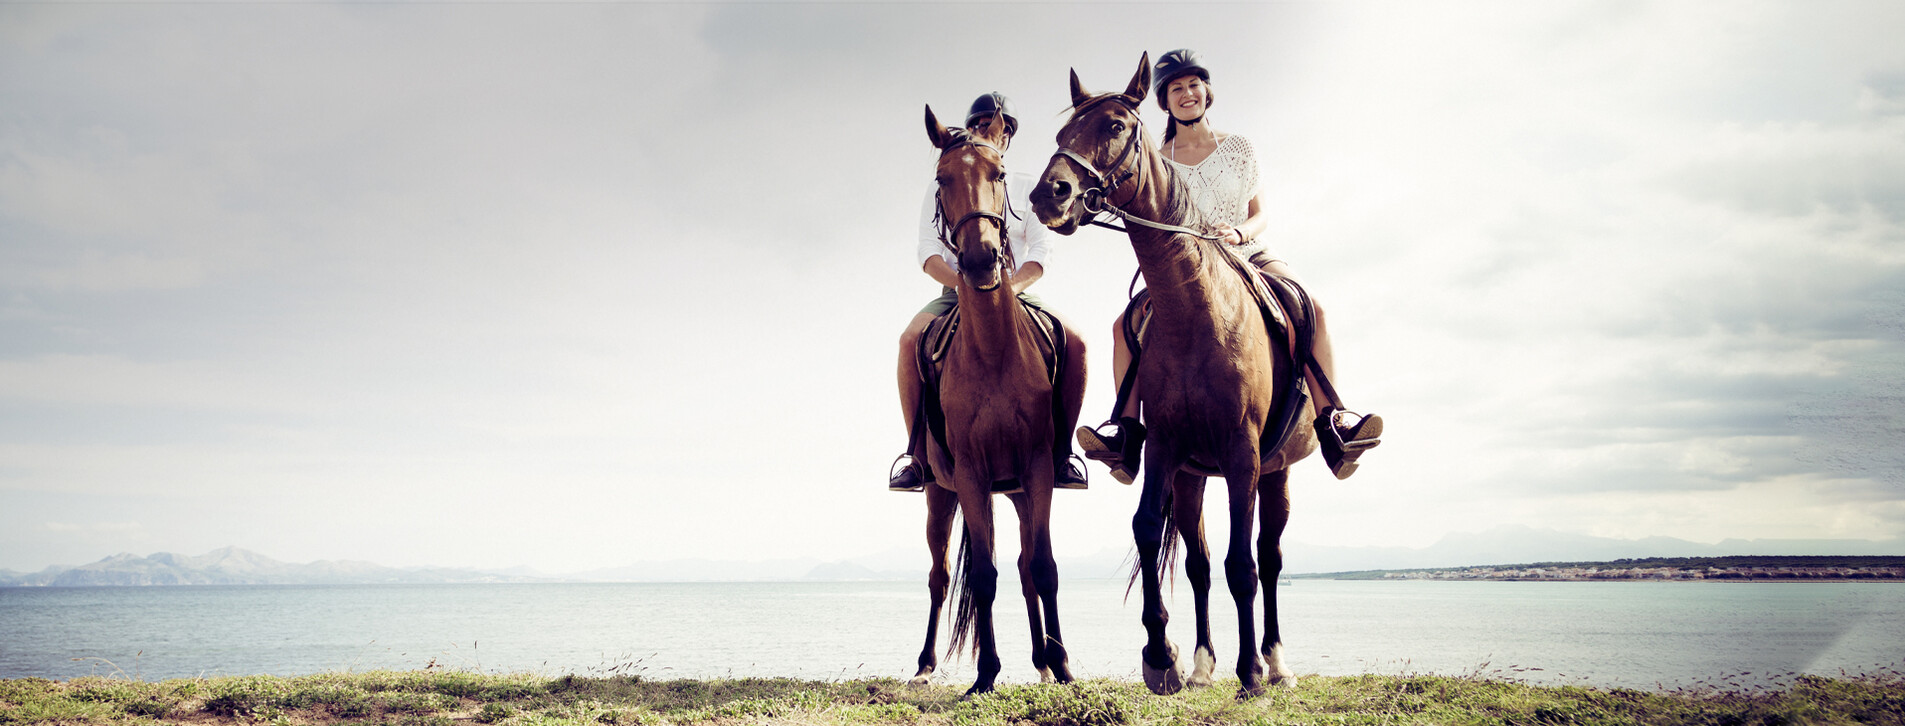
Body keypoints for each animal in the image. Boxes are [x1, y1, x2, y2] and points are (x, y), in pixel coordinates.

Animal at [914, 104, 1082, 693]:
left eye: (1001, 175)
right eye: (941, 180)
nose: (982, 259)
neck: (993, 352)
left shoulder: (1036, 469)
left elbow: (1045, 569)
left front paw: (1063, 666)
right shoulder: (970, 476)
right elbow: (982, 575)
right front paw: (985, 674)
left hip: (1019, 492)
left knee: (1028, 569)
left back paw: (1045, 660)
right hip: (939, 494)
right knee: (941, 576)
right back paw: (924, 665)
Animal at [1036, 53, 1318, 693]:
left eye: (1116, 126)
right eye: (1063, 134)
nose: (1049, 194)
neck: (1195, 309)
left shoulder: (1243, 452)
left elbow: (1245, 563)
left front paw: (1250, 673)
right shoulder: (1165, 445)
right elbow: (1148, 530)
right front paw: (1161, 655)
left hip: (1276, 472)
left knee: (1268, 558)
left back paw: (1275, 662)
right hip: (1193, 476)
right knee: (1198, 563)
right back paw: (1203, 664)